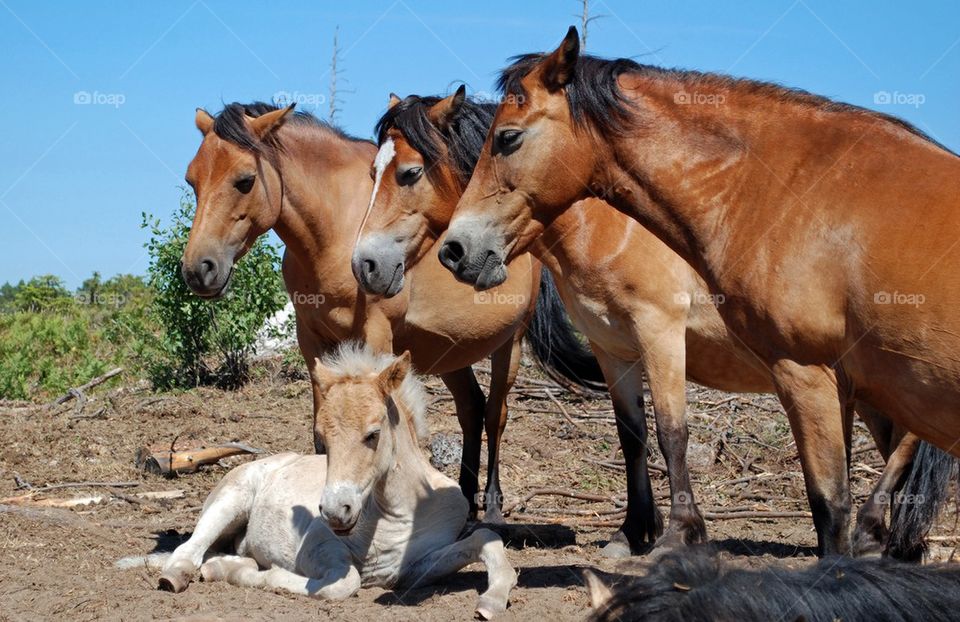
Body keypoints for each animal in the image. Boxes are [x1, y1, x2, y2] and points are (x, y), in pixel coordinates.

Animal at [154, 348, 512, 620]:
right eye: (321, 437)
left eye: (373, 434)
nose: (335, 511)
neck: (394, 516)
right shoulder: (316, 548)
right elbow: (343, 583)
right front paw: (250, 574)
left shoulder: (413, 568)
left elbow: (486, 539)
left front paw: (492, 602)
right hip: (230, 501)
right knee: (190, 549)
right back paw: (181, 575)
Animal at [181, 101, 580, 520]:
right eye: (193, 181)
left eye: (244, 181)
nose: (198, 269)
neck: (338, 231)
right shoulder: (312, 343)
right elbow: (322, 434)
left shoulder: (376, 337)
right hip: (450, 353)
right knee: (471, 410)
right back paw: (465, 500)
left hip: (510, 345)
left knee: (495, 415)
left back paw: (491, 506)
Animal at [350, 89, 944, 560]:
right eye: (372, 173)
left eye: (408, 172)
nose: (366, 264)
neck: (608, 224)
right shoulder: (612, 347)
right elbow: (631, 435)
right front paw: (631, 532)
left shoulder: (660, 334)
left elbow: (670, 433)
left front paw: (679, 535)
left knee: (908, 442)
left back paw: (868, 531)